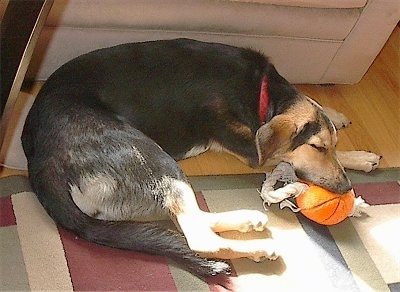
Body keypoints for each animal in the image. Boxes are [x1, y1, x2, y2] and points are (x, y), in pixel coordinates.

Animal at [22, 38, 382, 278]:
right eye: (318, 148)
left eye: (327, 146)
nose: (346, 188)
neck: (263, 93)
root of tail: (41, 162)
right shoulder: (251, 148)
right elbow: (283, 154)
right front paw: (356, 157)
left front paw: (337, 118)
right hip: (155, 159)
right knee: (196, 234)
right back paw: (256, 248)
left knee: (192, 219)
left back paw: (247, 220)